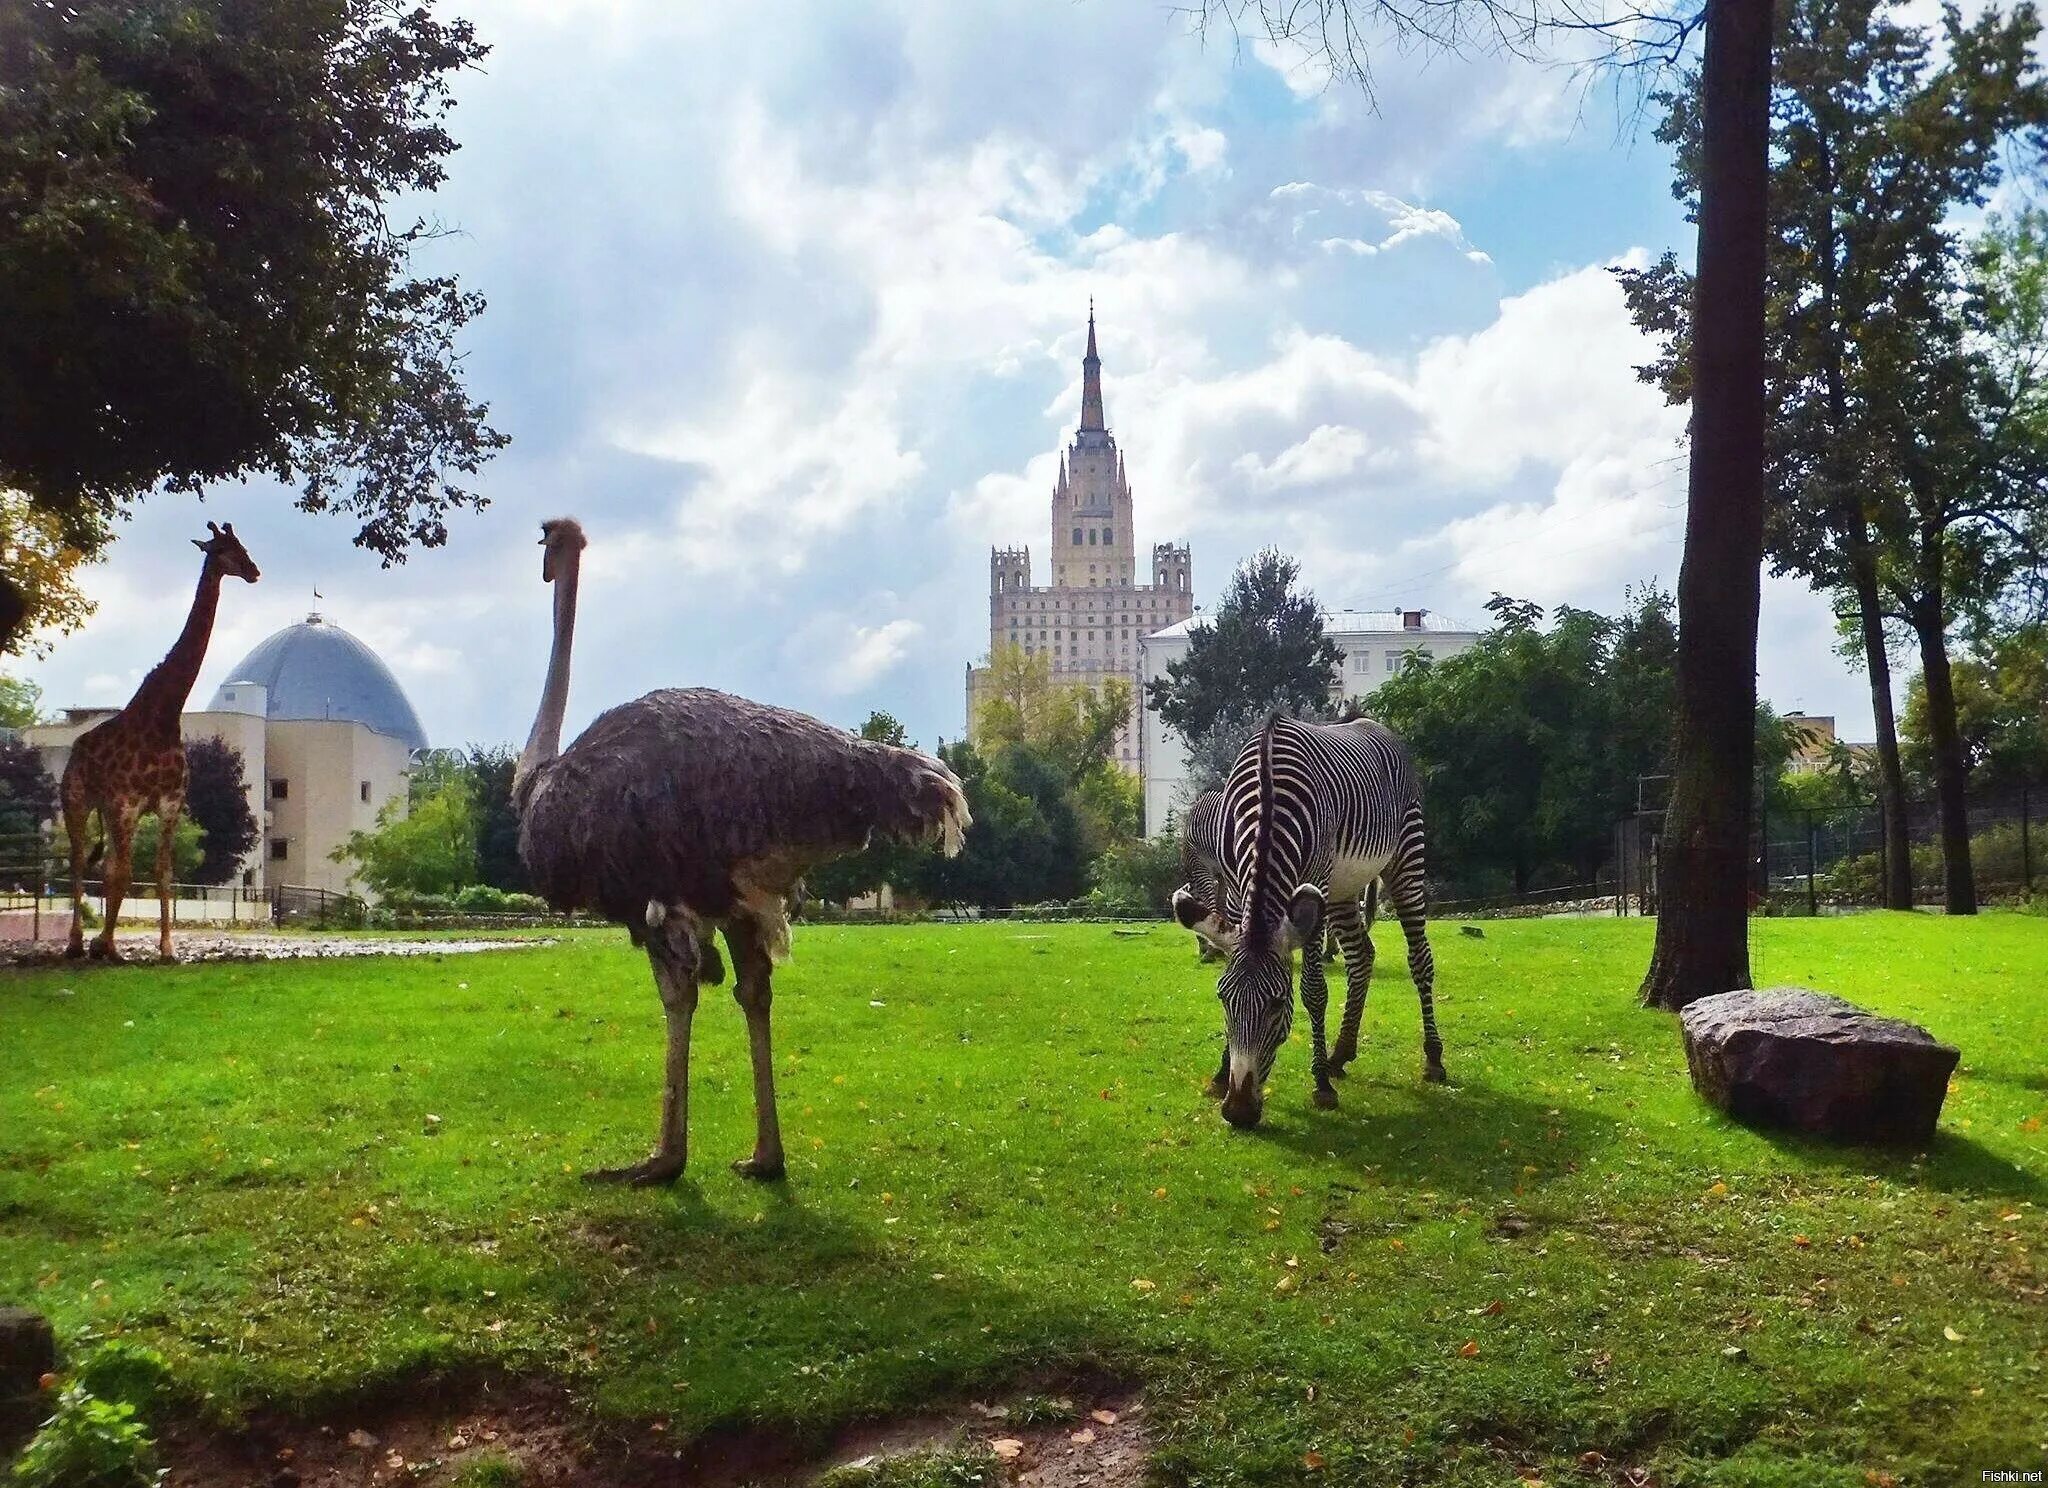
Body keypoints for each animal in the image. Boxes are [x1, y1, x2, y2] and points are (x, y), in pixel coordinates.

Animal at [62, 523, 260, 966]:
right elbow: (122, 873)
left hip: (110, 811)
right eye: (224, 549)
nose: (254, 571)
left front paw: (166, 949)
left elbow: (161, 873)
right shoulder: (126, 801)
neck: (165, 715)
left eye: (242, 545)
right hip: (78, 801)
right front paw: (106, 946)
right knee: (80, 861)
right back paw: (77, 942)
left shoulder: (168, 804)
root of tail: (75, 746)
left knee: (106, 863)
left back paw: (97, 941)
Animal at [1212, 712, 1441, 1129]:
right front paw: (1221, 1073)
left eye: (1277, 1004)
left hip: (1405, 860)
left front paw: (1320, 1084)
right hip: (1342, 890)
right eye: (1224, 999)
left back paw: (1433, 1058)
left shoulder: (1314, 881)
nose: (1238, 1113)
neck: (1268, 798)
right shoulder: (1237, 887)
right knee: (1362, 956)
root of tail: (1374, 724)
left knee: (1420, 959)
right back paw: (1341, 1053)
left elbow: (1314, 991)